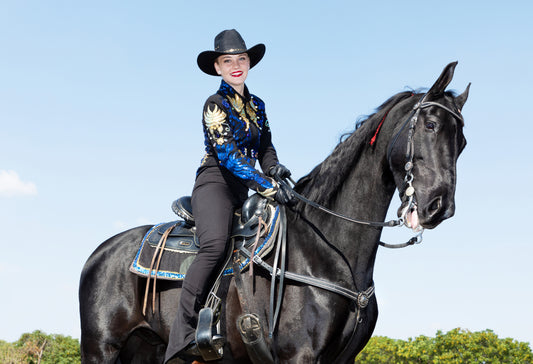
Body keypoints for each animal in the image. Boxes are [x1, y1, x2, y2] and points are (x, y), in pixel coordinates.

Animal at [78, 62, 466, 364]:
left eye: (461, 141)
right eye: (430, 126)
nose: (439, 206)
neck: (324, 247)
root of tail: (100, 253)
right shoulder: (300, 356)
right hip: (101, 350)